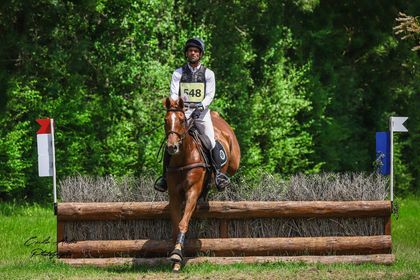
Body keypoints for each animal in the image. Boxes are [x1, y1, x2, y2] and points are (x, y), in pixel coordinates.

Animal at [165, 97, 243, 272]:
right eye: (166, 120)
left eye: (181, 120)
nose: (172, 147)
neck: (183, 157)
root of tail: (216, 116)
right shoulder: (174, 195)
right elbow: (175, 225)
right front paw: (175, 255)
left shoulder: (192, 192)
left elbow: (183, 223)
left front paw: (177, 255)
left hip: (234, 161)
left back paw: (220, 180)